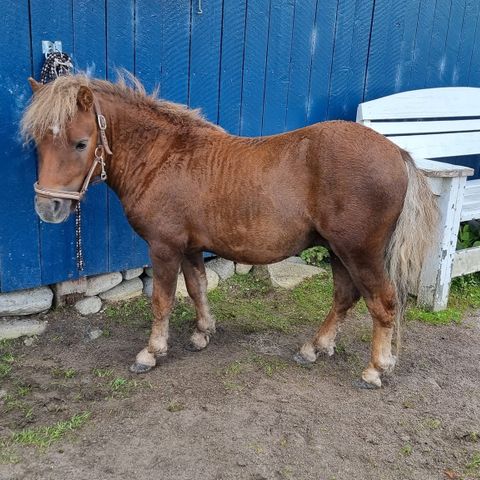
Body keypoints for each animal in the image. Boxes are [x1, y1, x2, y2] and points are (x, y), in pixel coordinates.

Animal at [21, 76, 438, 390]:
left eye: (80, 142)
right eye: (39, 142)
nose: (47, 208)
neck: (162, 156)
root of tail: (398, 153)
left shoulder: (164, 247)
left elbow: (162, 300)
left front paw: (152, 352)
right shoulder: (190, 248)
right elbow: (197, 288)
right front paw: (202, 334)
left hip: (359, 252)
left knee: (383, 303)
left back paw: (375, 368)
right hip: (338, 251)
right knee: (344, 297)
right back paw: (315, 348)